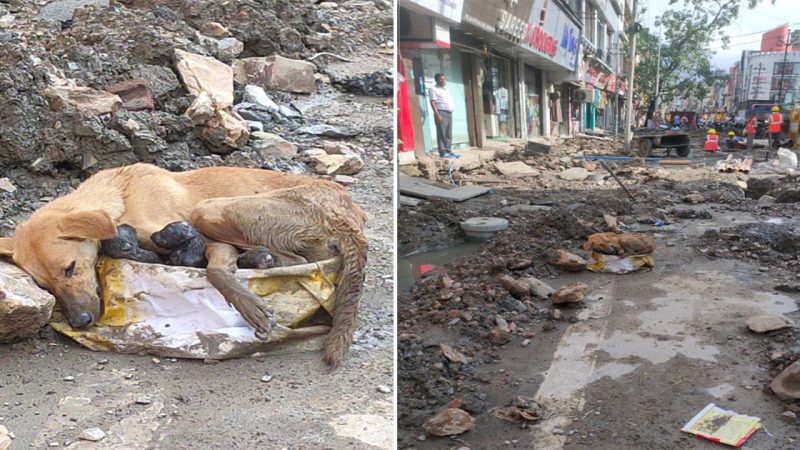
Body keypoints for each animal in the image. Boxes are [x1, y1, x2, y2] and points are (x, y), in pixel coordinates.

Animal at [0, 163, 368, 368]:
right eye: (45, 286)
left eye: (70, 268)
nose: (80, 322)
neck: (121, 196)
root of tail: (349, 214)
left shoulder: (206, 240)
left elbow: (215, 270)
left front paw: (247, 304)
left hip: (211, 209)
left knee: (296, 261)